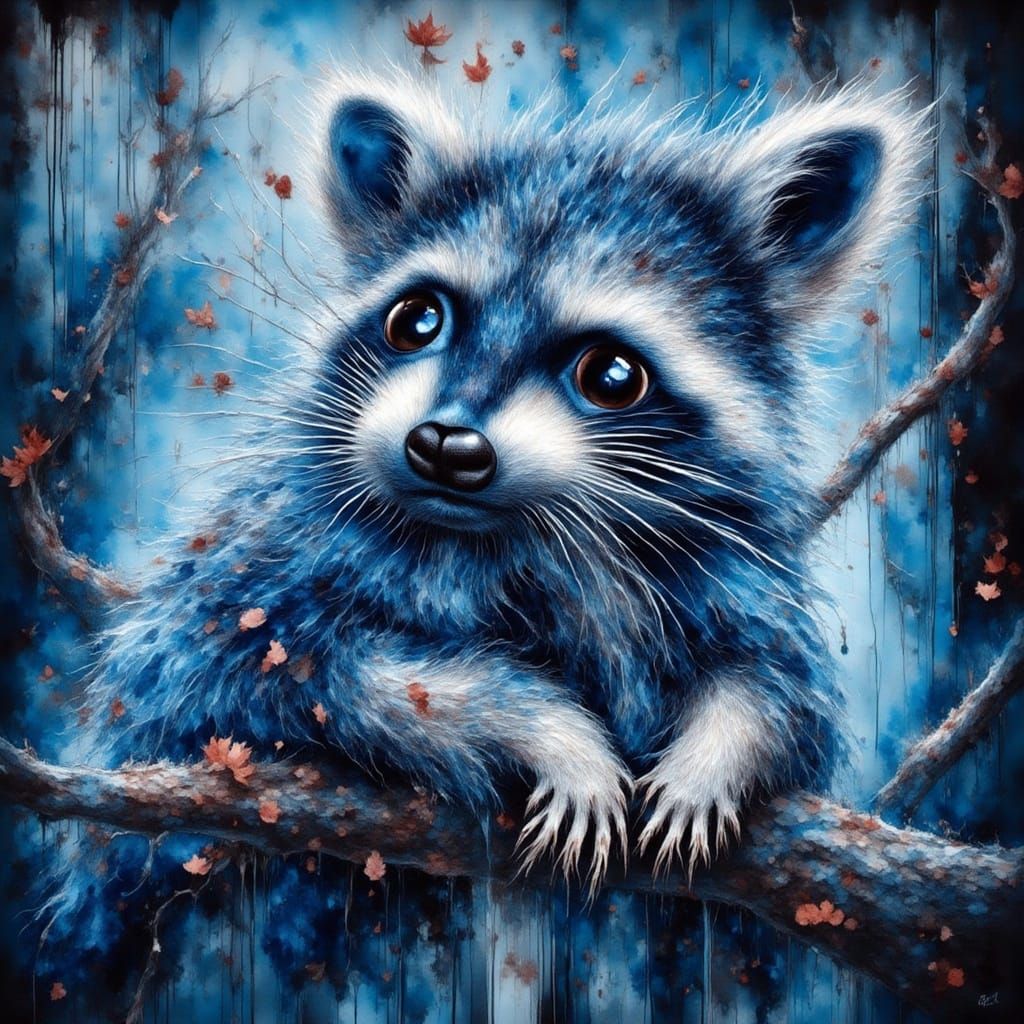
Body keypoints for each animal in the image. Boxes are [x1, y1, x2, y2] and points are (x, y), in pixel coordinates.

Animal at [48, 69, 924, 957]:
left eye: (611, 374)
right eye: (418, 319)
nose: (443, 444)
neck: (522, 532)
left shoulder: (738, 567)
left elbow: (777, 687)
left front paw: (715, 753)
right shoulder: (259, 567)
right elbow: (284, 669)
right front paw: (547, 726)